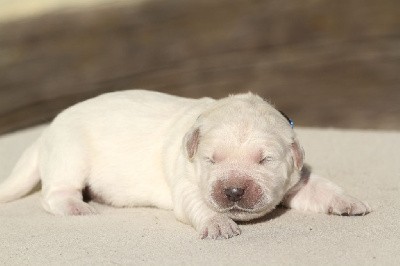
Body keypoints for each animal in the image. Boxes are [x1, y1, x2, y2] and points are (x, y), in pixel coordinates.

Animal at [0, 90, 370, 239]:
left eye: (265, 160)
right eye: (211, 159)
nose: (234, 191)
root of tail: (43, 135)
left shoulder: (296, 176)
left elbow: (317, 186)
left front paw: (347, 201)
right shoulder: (186, 182)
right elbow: (198, 204)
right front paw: (219, 224)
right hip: (71, 152)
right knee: (53, 194)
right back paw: (77, 207)